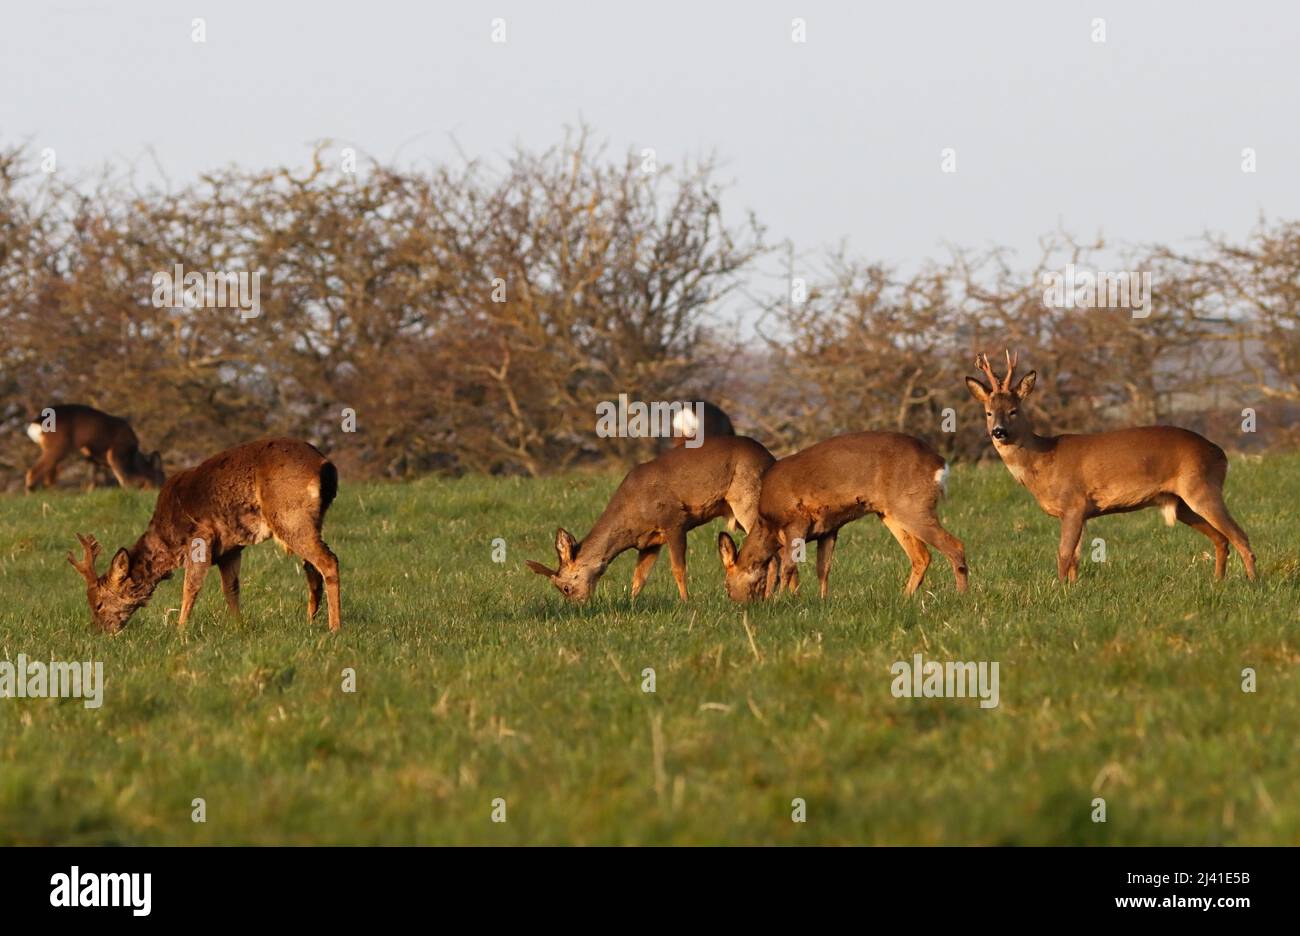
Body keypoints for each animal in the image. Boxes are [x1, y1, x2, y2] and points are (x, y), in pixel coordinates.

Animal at [25, 404, 164, 493]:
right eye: (162, 477)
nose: (160, 488)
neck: (133, 457)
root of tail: (37, 422)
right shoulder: (115, 453)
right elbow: (124, 477)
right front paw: (134, 490)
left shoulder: (91, 457)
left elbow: (93, 480)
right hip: (58, 448)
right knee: (33, 473)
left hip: (53, 450)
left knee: (47, 478)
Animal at [67, 438, 342, 633]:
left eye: (98, 603)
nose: (98, 631)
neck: (168, 537)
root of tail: (324, 466)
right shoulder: (230, 549)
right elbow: (231, 589)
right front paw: (239, 627)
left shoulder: (201, 536)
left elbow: (191, 586)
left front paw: (180, 630)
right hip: (310, 520)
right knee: (311, 569)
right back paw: (310, 621)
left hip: (289, 515)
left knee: (328, 561)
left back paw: (334, 628)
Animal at [526, 435, 775, 602]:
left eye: (565, 588)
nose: (578, 605)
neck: (631, 513)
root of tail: (770, 458)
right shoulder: (648, 543)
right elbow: (639, 578)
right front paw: (631, 603)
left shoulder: (674, 520)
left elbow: (678, 568)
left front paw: (686, 602)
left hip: (748, 499)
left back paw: (771, 597)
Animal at [717, 432, 968, 601]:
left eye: (727, 587)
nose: (738, 604)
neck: (767, 524)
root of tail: (940, 464)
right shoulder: (828, 529)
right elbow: (823, 569)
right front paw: (822, 600)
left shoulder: (797, 521)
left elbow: (787, 566)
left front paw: (778, 600)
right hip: (890, 513)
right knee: (922, 556)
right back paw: (905, 598)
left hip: (913, 506)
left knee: (955, 545)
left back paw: (961, 596)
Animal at [964, 350, 1256, 583]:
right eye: (988, 412)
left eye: (1014, 410)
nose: (999, 431)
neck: (1044, 460)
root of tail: (1220, 453)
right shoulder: (1080, 513)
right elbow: (1075, 558)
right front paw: (1072, 589)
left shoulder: (1074, 503)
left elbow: (1063, 554)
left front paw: (1057, 589)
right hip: (1183, 503)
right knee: (1221, 538)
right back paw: (1218, 582)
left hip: (1202, 487)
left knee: (1240, 536)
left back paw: (1253, 583)